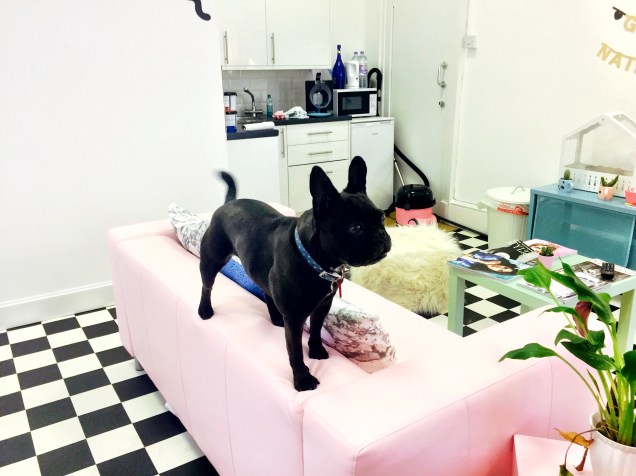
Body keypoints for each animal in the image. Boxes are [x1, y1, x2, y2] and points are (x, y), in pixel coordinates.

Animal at [197, 156, 391, 391]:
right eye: (356, 228)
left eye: (381, 218)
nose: (381, 235)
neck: (315, 259)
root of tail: (228, 203)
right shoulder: (295, 319)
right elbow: (295, 352)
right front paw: (302, 379)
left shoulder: (322, 306)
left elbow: (316, 330)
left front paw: (316, 351)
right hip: (212, 260)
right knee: (207, 286)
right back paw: (205, 309)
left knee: (267, 291)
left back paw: (275, 318)